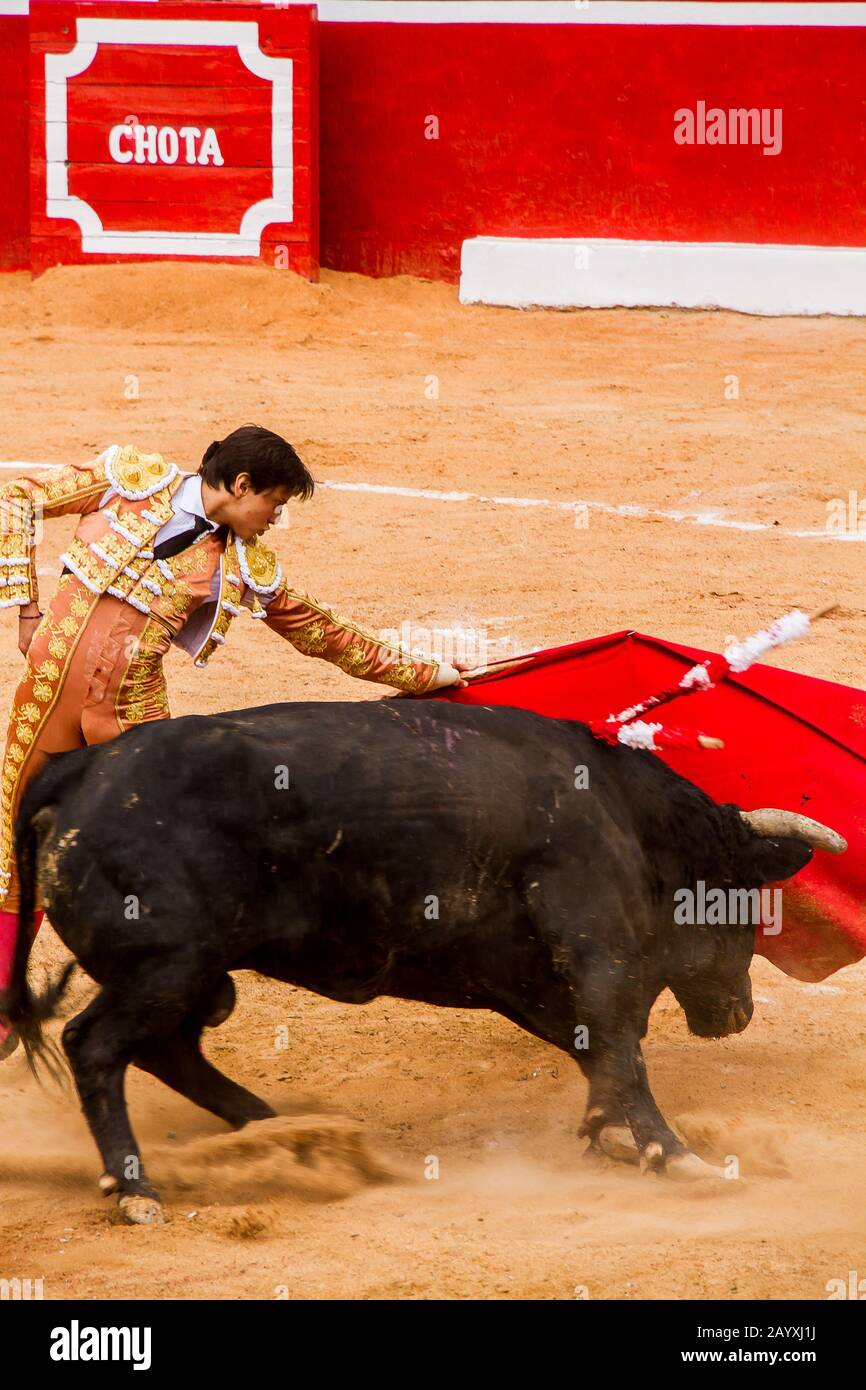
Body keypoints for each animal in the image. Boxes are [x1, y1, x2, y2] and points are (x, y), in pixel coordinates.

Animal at [0, 700, 845, 1223]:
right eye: (742, 899)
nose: (738, 1013)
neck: (622, 813)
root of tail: (79, 770)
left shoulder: (516, 973)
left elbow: (595, 1047)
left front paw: (606, 1135)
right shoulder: (594, 939)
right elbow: (617, 1040)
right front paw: (676, 1156)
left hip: (195, 976)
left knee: (169, 1048)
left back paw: (287, 1133)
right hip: (167, 964)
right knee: (97, 1045)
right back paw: (139, 1188)